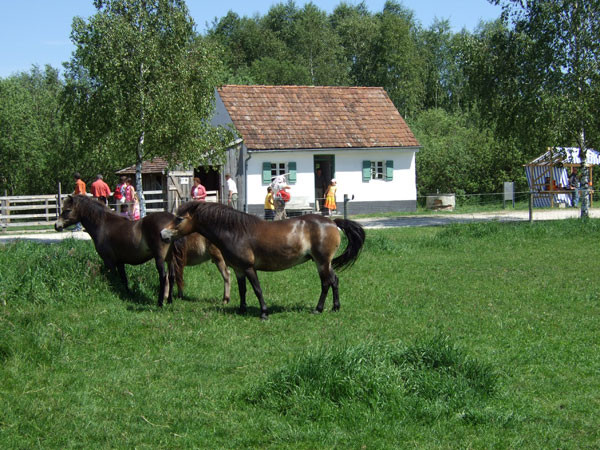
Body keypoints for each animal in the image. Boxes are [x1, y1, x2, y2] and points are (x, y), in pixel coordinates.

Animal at [53, 196, 230, 306]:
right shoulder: (120, 262)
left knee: (164, 277)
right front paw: (127, 294)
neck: (104, 224)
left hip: (161, 258)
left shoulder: (109, 262)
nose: (56, 225)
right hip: (170, 258)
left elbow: (114, 279)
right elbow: (123, 279)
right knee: (172, 277)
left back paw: (160, 302)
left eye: (67, 210)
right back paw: (170, 301)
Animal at [161, 200, 366, 320]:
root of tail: (332, 222)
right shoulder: (238, 269)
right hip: (325, 262)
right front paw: (242, 309)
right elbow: (242, 290)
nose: (163, 233)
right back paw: (335, 307)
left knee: (325, 283)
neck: (235, 231)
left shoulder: (249, 268)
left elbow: (257, 290)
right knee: (334, 280)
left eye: (179, 219)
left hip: (321, 262)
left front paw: (264, 313)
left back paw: (318, 308)